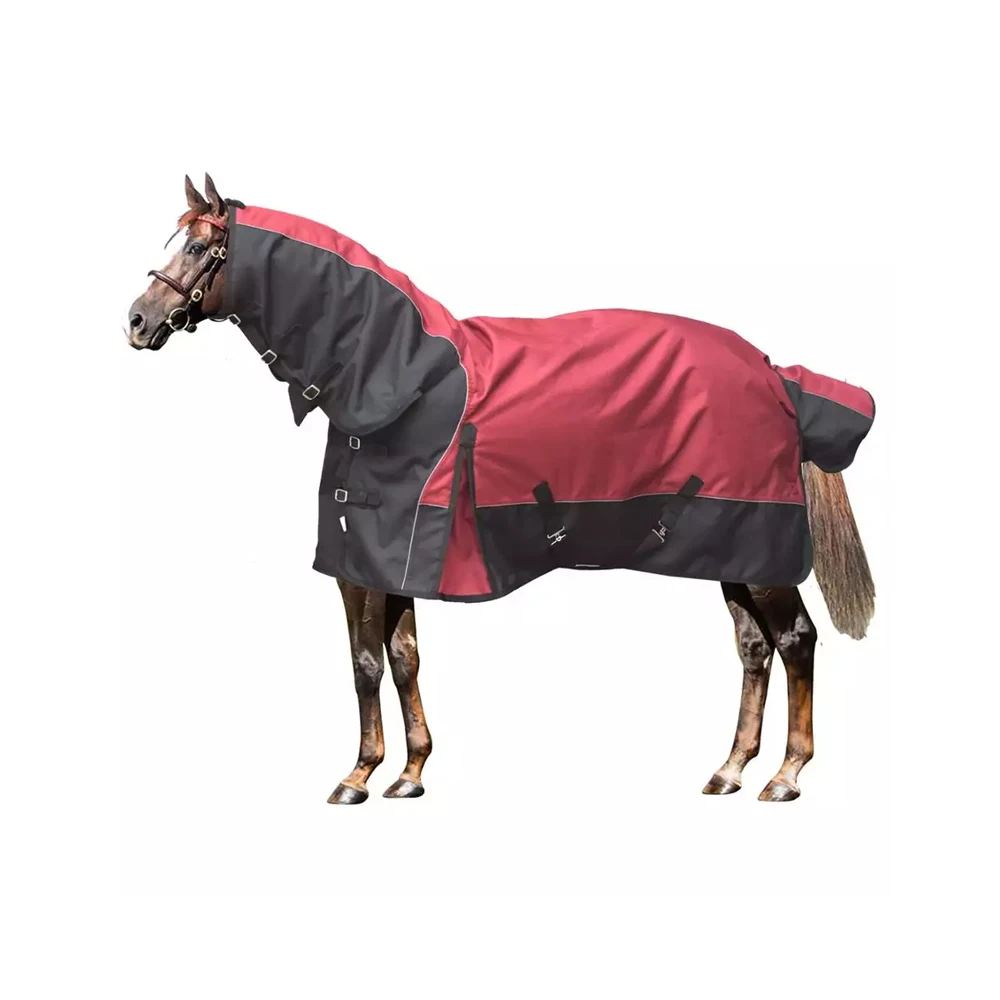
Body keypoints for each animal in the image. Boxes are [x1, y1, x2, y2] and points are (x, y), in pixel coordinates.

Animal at [125, 174, 875, 804]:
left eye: (200, 246)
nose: (135, 320)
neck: (398, 379)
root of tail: (776, 375)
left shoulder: (368, 562)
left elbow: (366, 661)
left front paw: (358, 776)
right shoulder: (382, 563)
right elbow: (404, 658)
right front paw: (411, 772)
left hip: (760, 547)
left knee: (796, 639)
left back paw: (785, 775)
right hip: (729, 551)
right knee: (754, 647)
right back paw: (730, 768)